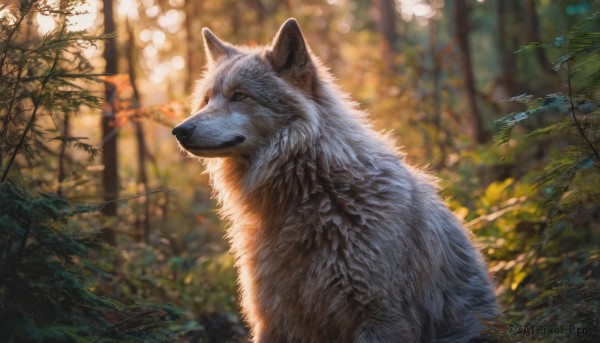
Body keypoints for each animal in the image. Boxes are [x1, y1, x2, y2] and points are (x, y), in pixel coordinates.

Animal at [172, 19, 496, 343]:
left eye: (240, 95)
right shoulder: (273, 317)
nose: (179, 130)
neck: (315, 193)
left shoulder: (381, 318)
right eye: (206, 100)